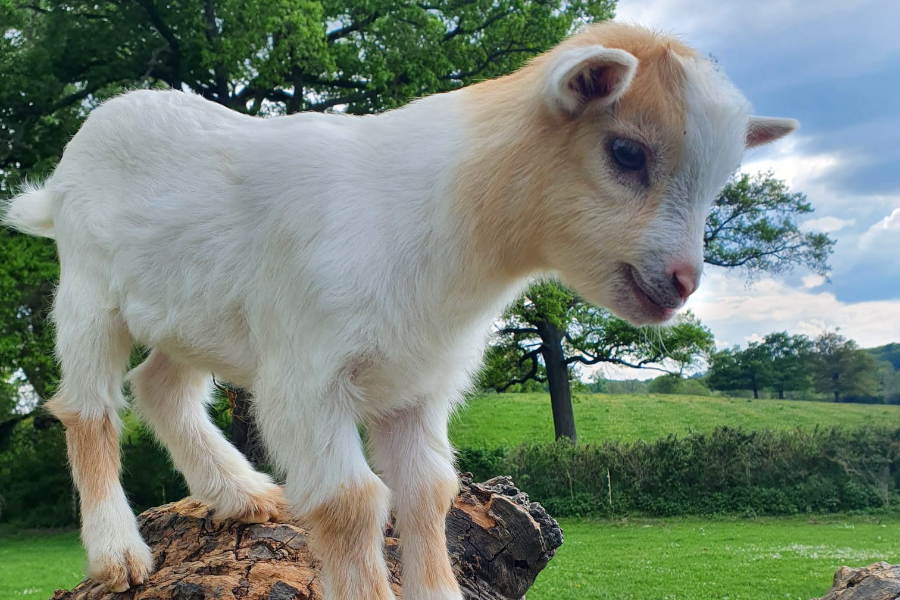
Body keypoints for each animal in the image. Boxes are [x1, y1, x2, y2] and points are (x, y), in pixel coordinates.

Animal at [7, 21, 796, 600]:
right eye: (627, 151)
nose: (683, 281)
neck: (440, 218)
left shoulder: (418, 381)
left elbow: (428, 492)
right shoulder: (309, 375)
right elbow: (354, 503)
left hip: (199, 315)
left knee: (160, 387)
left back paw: (241, 494)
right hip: (87, 288)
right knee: (88, 408)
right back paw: (117, 553)